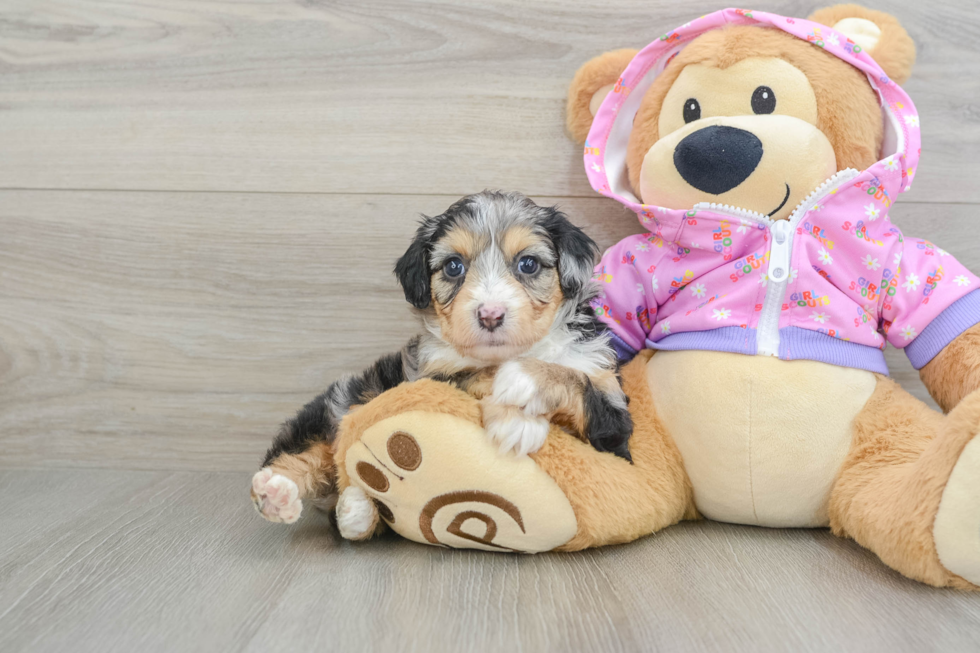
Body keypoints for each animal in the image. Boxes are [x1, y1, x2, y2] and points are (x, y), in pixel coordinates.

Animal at [253, 191, 632, 536]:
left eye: (528, 264)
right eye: (453, 266)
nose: (490, 314)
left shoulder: (613, 423)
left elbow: (576, 382)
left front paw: (522, 386)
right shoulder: (430, 376)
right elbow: (475, 373)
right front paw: (517, 418)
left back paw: (356, 509)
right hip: (340, 401)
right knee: (309, 450)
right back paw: (278, 492)